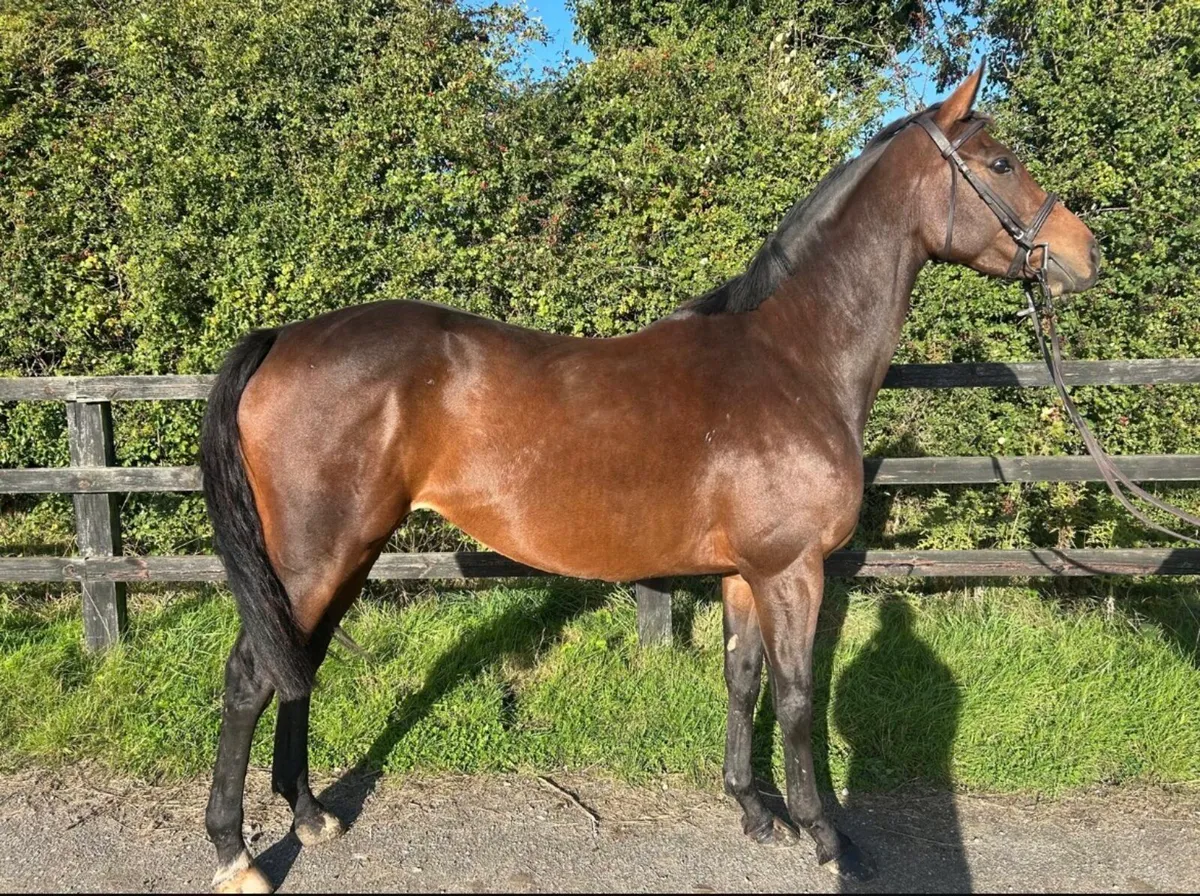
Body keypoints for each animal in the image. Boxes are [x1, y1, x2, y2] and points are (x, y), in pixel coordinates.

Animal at [199, 67, 1099, 893]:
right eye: (1002, 161)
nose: (1085, 255)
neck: (793, 360)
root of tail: (283, 339)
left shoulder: (747, 572)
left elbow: (742, 681)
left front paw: (753, 810)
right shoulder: (792, 569)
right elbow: (799, 698)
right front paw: (828, 838)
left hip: (346, 553)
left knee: (297, 662)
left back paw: (311, 815)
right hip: (315, 555)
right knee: (250, 676)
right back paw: (237, 852)